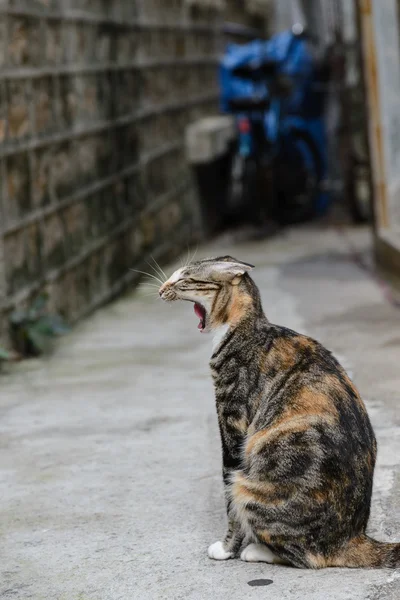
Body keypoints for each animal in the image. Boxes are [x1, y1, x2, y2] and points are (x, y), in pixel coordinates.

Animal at [158, 255, 398, 568]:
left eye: (183, 277)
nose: (160, 289)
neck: (243, 328)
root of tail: (352, 538)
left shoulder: (232, 421)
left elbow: (229, 497)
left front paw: (226, 548)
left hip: (250, 486)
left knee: (305, 556)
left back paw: (256, 550)